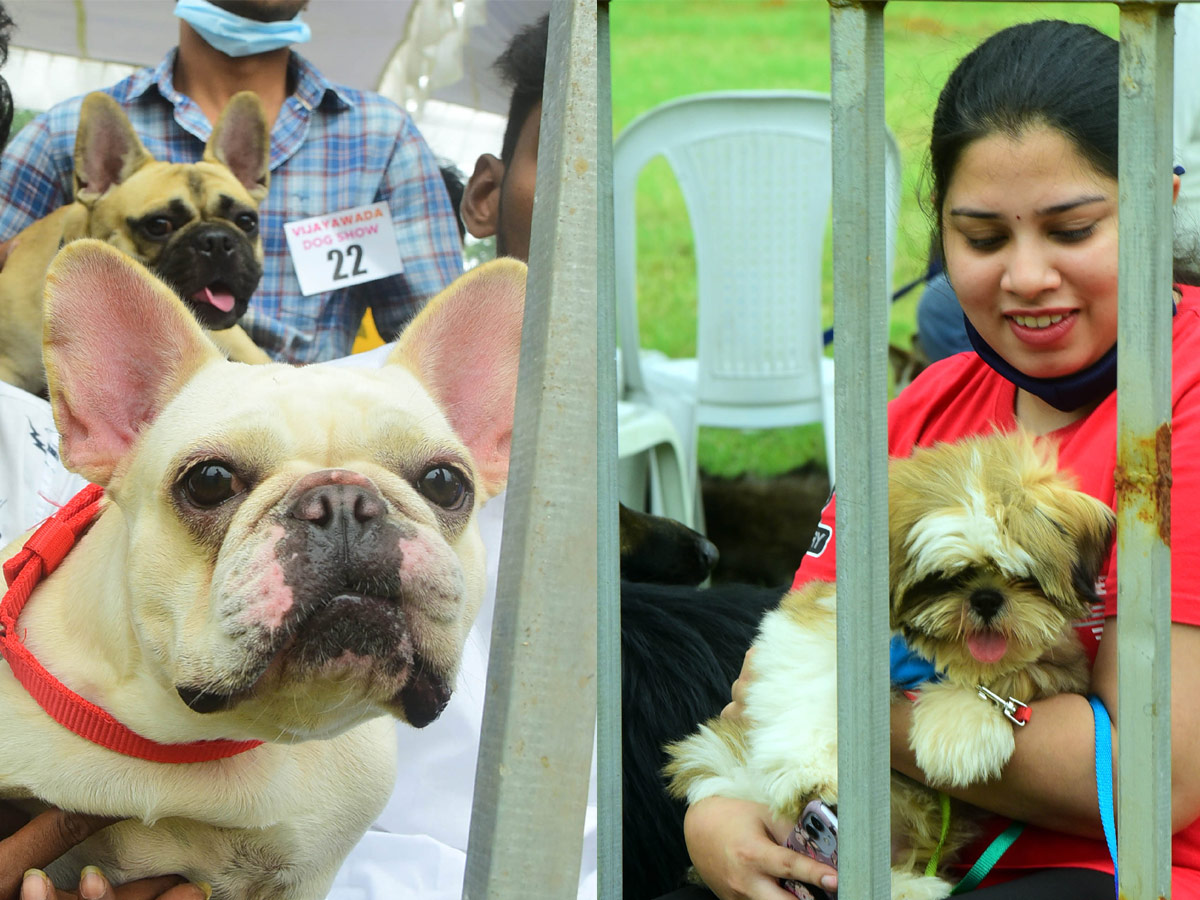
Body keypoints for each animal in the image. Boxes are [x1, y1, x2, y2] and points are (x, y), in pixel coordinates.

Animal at [667, 434, 1113, 897]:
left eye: (1023, 577)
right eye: (947, 577)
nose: (987, 599)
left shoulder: (1059, 663)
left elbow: (1006, 677)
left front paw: (957, 735)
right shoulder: (820, 621)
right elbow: (810, 673)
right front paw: (806, 768)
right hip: (721, 758)